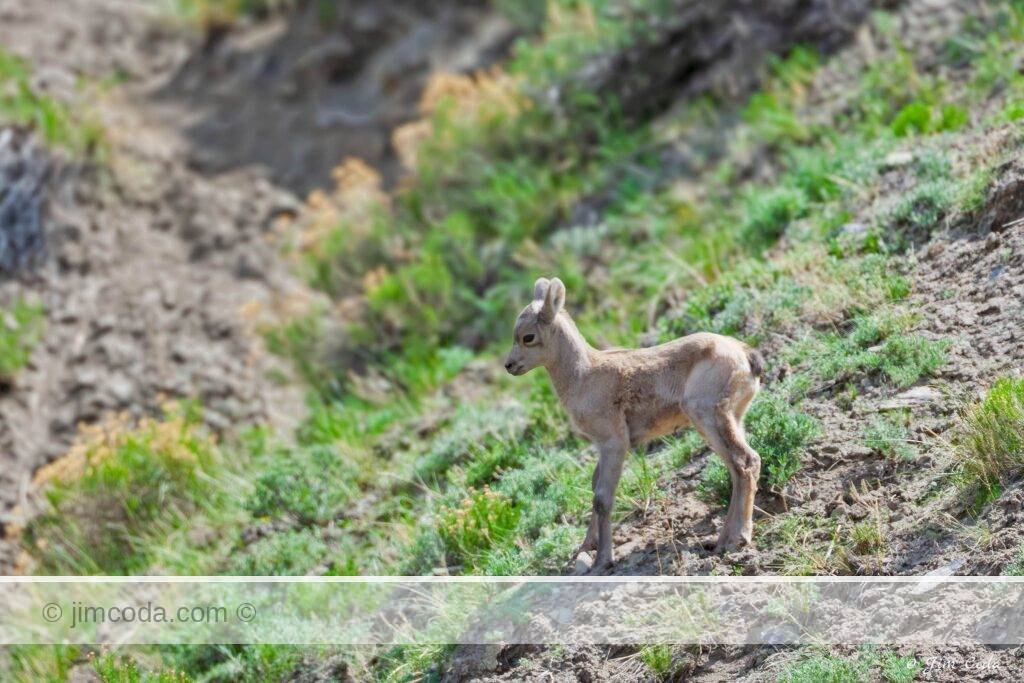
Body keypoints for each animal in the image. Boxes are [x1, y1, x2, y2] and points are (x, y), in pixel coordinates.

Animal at [504, 277, 764, 574]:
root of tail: (746, 356)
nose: (509, 365)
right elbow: (594, 488)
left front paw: (602, 561)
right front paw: (586, 547)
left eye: (528, 337)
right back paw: (721, 541)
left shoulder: (614, 443)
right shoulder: (603, 447)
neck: (584, 376)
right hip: (732, 418)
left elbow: (602, 498)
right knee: (738, 468)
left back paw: (736, 539)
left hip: (706, 416)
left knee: (745, 461)